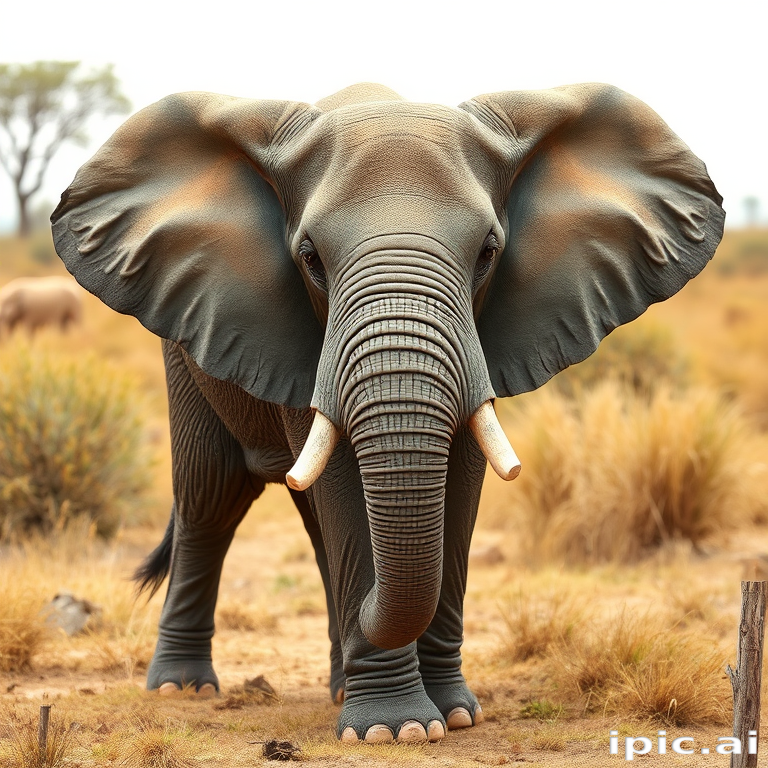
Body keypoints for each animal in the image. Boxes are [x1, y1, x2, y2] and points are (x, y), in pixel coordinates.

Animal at [50, 82, 724, 744]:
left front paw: (455, 714)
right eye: (310, 257)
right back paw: (183, 689)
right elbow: (344, 495)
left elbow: (459, 487)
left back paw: (336, 684)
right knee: (213, 497)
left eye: (488, 252)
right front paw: (392, 729)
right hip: (182, 356)